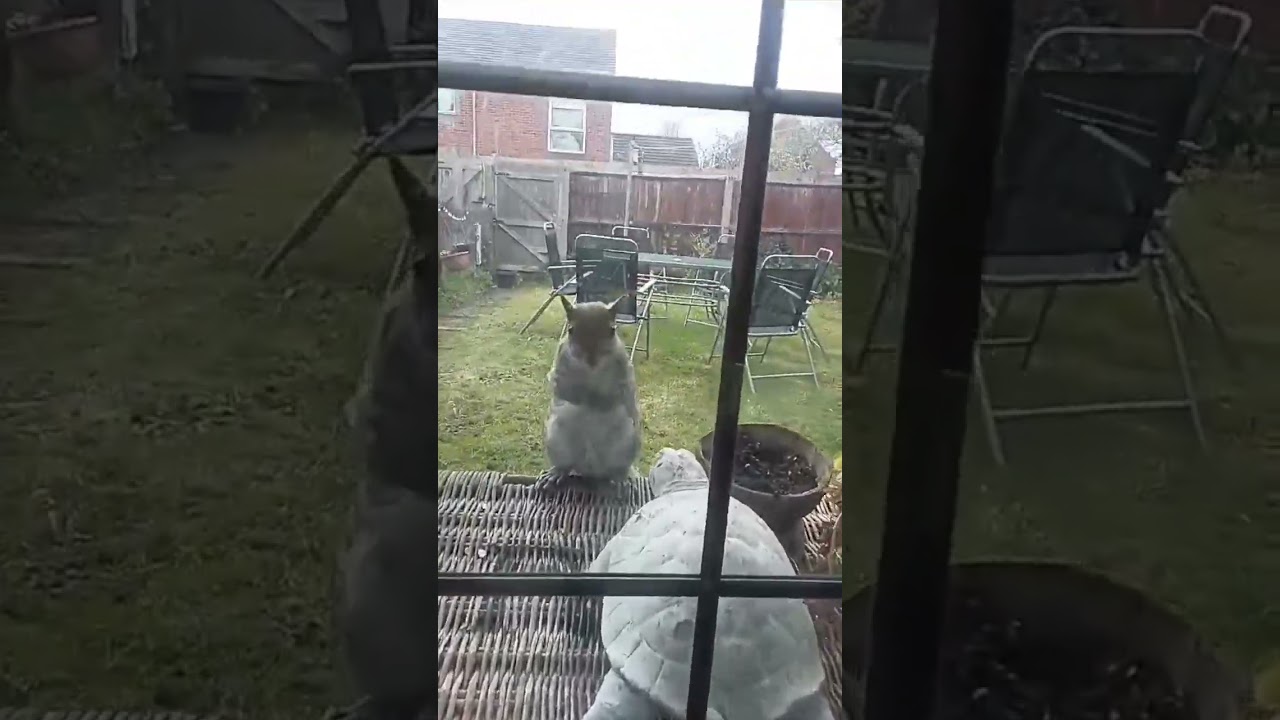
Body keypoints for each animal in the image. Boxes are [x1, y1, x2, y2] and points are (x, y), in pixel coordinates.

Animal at [535, 295, 643, 492]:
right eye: (571, 330)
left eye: (612, 330)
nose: (591, 358)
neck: (591, 372)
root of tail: (591, 470)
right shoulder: (559, 372)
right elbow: (566, 391)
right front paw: (586, 399)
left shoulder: (624, 375)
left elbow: (616, 393)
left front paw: (598, 401)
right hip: (557, 439)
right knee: (565, 465)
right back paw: (555, 473)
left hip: (626, 443)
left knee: (618, 470)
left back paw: (622, 478)